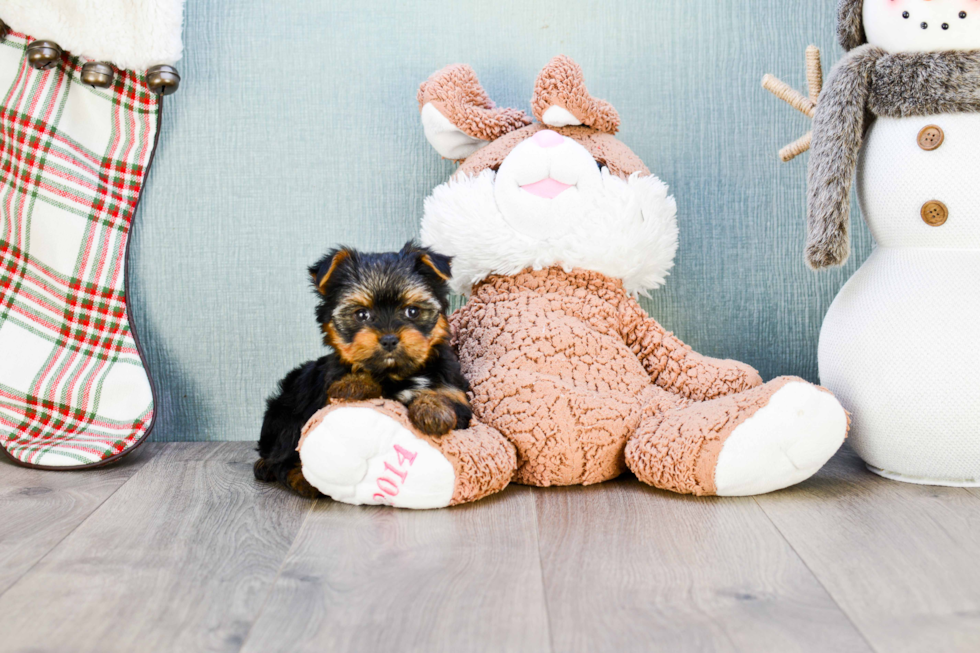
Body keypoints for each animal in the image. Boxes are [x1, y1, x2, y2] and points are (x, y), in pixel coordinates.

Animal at [251, 242, 468, 496]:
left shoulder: (456, 394)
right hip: (287, 414)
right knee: (283, 456)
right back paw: (299, 478)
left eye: (412, 311)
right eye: (361, 314)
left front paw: (433, 410)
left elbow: (445, 398)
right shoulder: (326, 399)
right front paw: (355, 383)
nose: (389, 339)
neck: (394, 375)